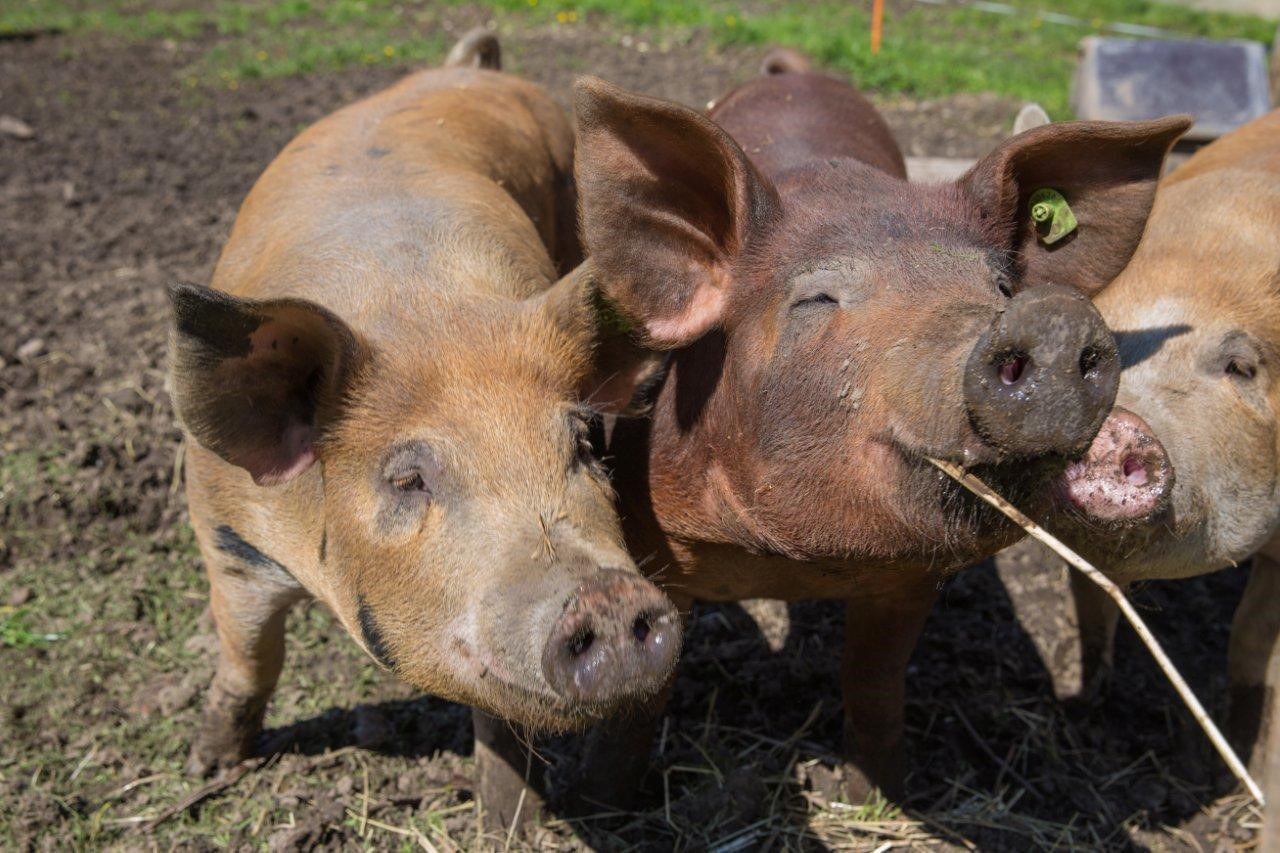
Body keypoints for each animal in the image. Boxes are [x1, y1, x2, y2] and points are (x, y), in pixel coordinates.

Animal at [174, 31, 686, 824]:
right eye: (407, 477)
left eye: (583, 443)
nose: (606, 596)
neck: (422, 311)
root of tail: (475, 70)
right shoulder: (223, 535)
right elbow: (250, 656)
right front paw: (207, 765)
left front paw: (508, 824)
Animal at [565, 54, 1182, 804]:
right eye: (818, 298)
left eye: (1001, 288)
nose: (1053, 320)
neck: (795, 563)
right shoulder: (653, 537)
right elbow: (647, 691)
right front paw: (602, 801)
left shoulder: (910, 581)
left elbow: (874, 682)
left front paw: (878, 794)